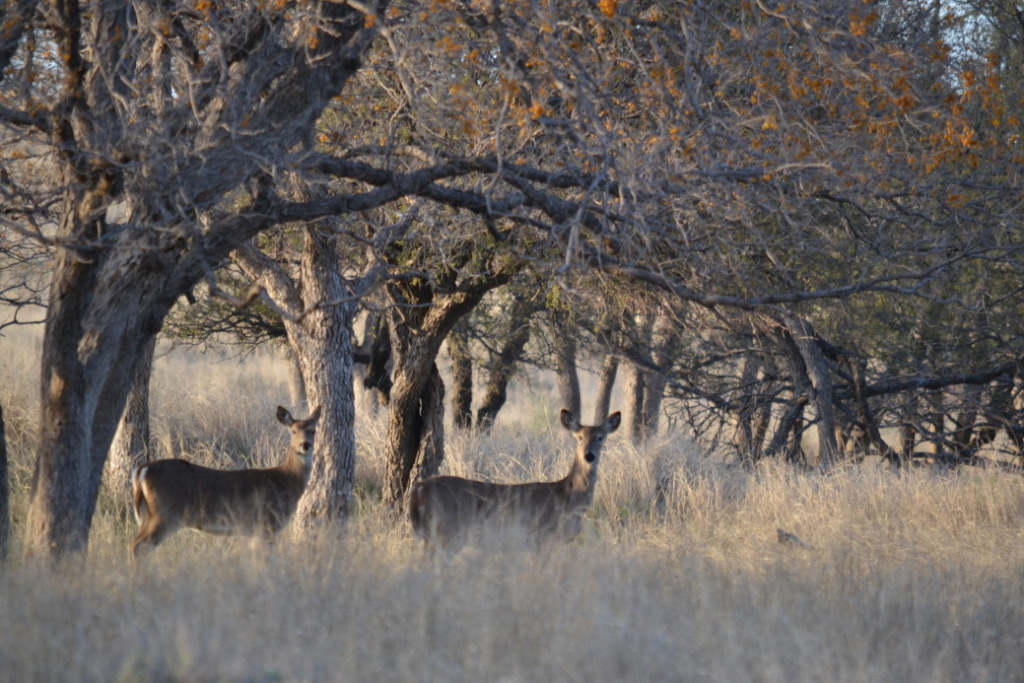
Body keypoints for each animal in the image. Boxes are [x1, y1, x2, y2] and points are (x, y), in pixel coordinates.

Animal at [129, 405, 319, 561]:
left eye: (313, 431)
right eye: (293, 431)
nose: (305, 445)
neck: (285, 480)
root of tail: (141, 470)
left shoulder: (255, 530)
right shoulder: (268, 523)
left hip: (149, 515)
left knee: (133, 544)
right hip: (165, 514)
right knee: (138, 546)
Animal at [409, 409, 622, 552]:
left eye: (601, 437)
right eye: (578, 437)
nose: (589, 455)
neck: (567, 497)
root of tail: (417, 489)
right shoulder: (541, 536)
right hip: (446, 530)